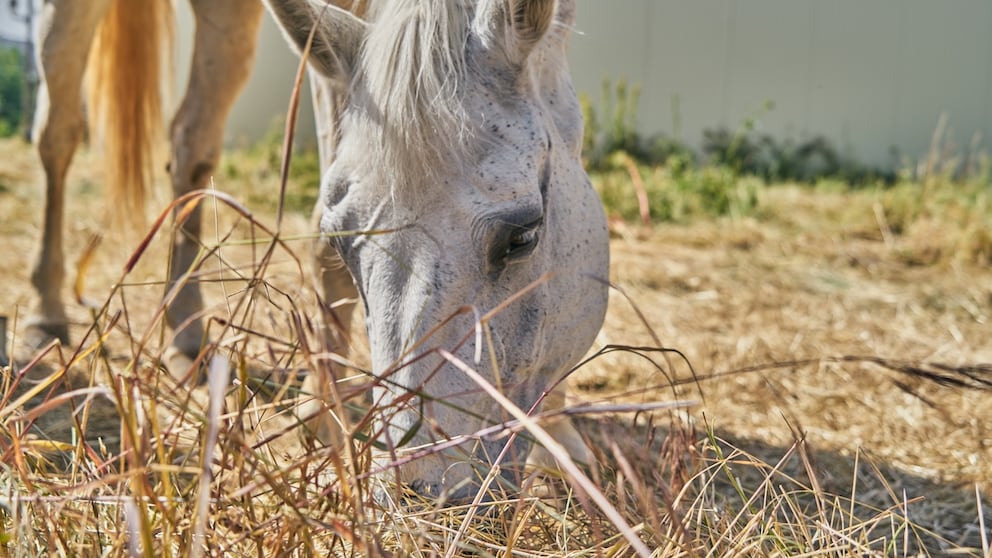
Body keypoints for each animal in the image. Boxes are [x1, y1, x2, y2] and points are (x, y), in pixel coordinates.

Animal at [28, 0, 610, 500]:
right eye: (342, 242)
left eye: (524, 236)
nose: (426, 491)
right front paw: (319, 406)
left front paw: (561, 445)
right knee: (58, 133)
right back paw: (46, 309)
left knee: (190, 143)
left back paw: (187, 329)